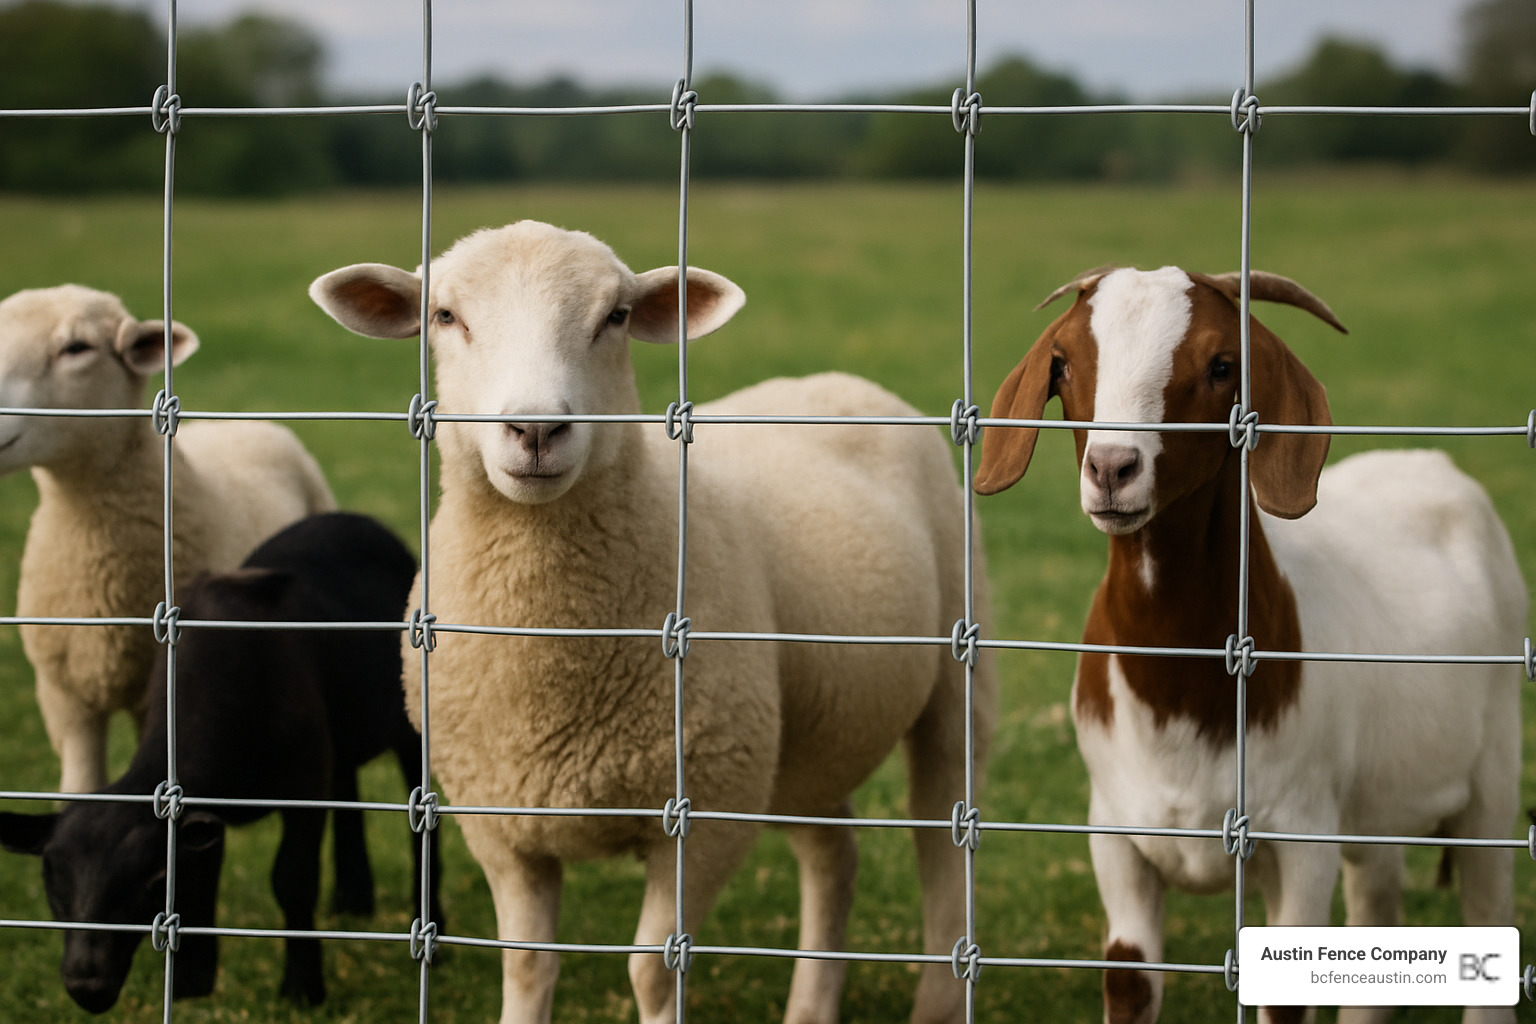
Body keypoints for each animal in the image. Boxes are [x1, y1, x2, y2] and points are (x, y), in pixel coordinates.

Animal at [0, 511, 443, 1012]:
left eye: (152, 880)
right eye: (51, 877)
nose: (86, 986)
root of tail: (356, 519)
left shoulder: (305, 777)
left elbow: (292, 877)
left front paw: (301, 987)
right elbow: (200, 869)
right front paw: (191, 983)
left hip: (407, 724)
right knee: (347, 788)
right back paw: (353, 898)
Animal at [308, 220, 997, 1024]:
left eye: (616, 317)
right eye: (446, 317)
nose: (535, 429)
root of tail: (835, 381)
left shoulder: (707, 807)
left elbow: (654, 970)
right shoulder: (500, 820)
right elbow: (527, 964)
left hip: (957, 675)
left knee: (943, 844)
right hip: (800, 734)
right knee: (835, 853)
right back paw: (811, 1005)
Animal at [973, 265, 1525, 1024]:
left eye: (1220, 365)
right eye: (1065, 361)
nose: (1113, 468)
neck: (1178, 694)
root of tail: (1432, 462)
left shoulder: (1301, 834)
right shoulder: (1114, 834)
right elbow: (1128, 979)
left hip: (1494, 764)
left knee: (1487, 899)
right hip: (1373, 802)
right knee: (1377, 902)